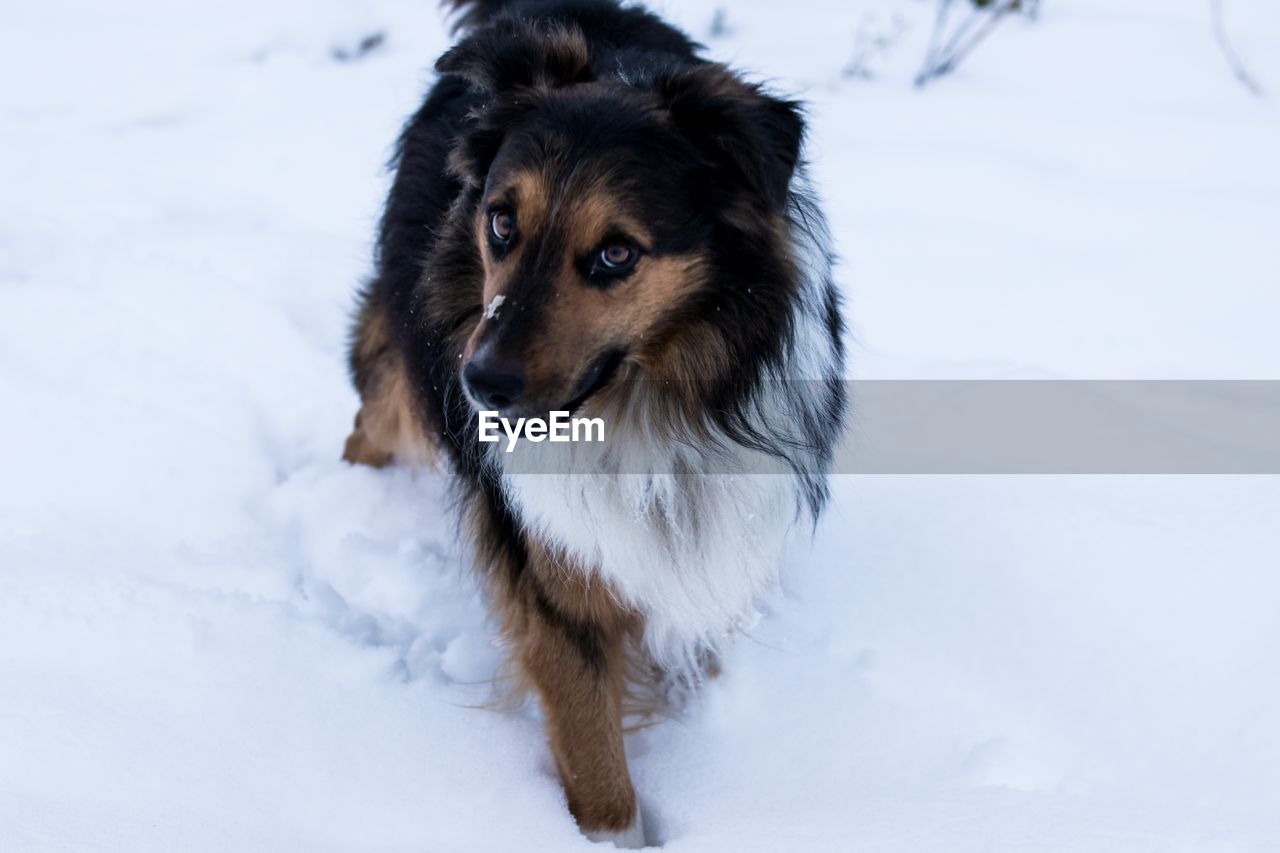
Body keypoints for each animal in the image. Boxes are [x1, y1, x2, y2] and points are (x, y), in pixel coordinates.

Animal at [348, 0, 849, 840]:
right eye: (501, 222)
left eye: (616, 253)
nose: (480, 385)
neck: (649, 401)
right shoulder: (551, 573)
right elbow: (597, 767)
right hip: (399, 373)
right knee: (369, 421)